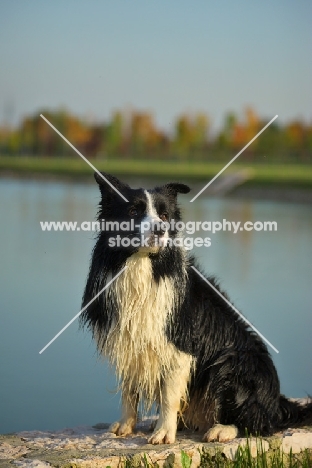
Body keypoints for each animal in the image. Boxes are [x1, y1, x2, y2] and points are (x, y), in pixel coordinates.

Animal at [81, 174, 312, 444]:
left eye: (165, 216)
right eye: (133, 211)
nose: (160, 229)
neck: (143, 266)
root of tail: (276, 402)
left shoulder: (181, 347)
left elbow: (169, 395)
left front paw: (163, 433)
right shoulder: (129, 338)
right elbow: (130, 389)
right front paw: (126, 425)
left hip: (232, 362)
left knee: (258, 423)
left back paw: (222, 429)